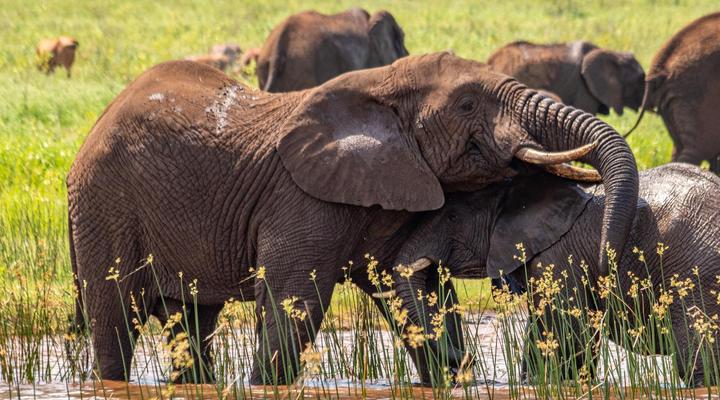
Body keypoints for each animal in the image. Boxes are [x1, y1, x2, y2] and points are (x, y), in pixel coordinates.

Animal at [66, 52, 638, 385]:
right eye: (468, 104)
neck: (380, 87)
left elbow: (412, 288)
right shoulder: (302, 197)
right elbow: (296, 299)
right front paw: (265, 386)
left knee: (191, 318)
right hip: (105, 204)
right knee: (115, 317)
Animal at [385, 163, 720, 386]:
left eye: (453, 217)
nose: (463, 362)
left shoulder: (557, 257)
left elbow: (561, 331)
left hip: (696, 272)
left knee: (697, 360)